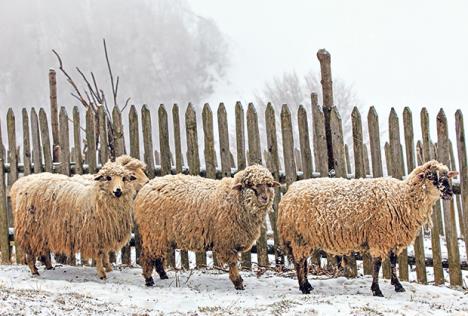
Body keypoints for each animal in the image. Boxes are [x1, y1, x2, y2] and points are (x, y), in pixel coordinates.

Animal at [135, 164, 280, 290]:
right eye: (250, 185)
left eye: (269, 185)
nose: (264, 198)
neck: (235, 199)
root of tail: (146, 188)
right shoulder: (227, 242)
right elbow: (233, 263)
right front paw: (238, 283)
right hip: (153, 231)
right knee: (147, 255)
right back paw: (149, 280)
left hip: (160, 235)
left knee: (157, 255)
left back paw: (163, 275)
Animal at [278, 160, 458, 296]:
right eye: (431, 176)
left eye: (446, 177)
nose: (449, 193)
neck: (403, 198)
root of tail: (288, 193)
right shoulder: (379, 237)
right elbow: (377, 264)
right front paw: (376, 290)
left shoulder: (393, 238)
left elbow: (393, 261)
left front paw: (398, 285)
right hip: (299, 236)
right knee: (299, 262)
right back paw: (303, 287)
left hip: (304, 238)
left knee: (302, 262)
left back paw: (308, 285)